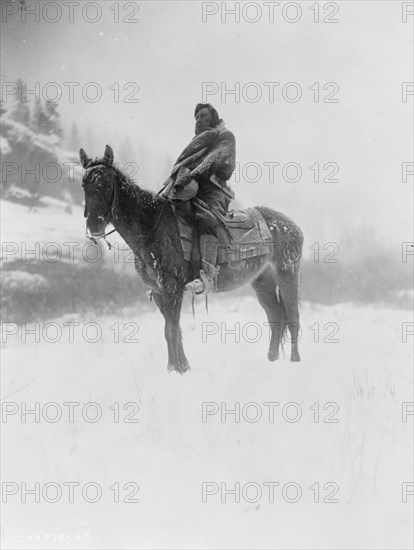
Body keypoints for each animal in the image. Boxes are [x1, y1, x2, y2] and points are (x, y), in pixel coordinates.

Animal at [79, 146, 302, 376]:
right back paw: (272, 360)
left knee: (293, 316)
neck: (153, 227)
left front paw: (174, 369)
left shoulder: (172, 289)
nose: (94, 225)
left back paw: (295, 361)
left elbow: (170, 329)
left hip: (288, 272)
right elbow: (174, 329)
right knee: (276, 316)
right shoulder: (159, 292)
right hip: (262, 279)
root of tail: (290, 224)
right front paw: (181, 367)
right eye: (84, 184)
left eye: (106, 184)